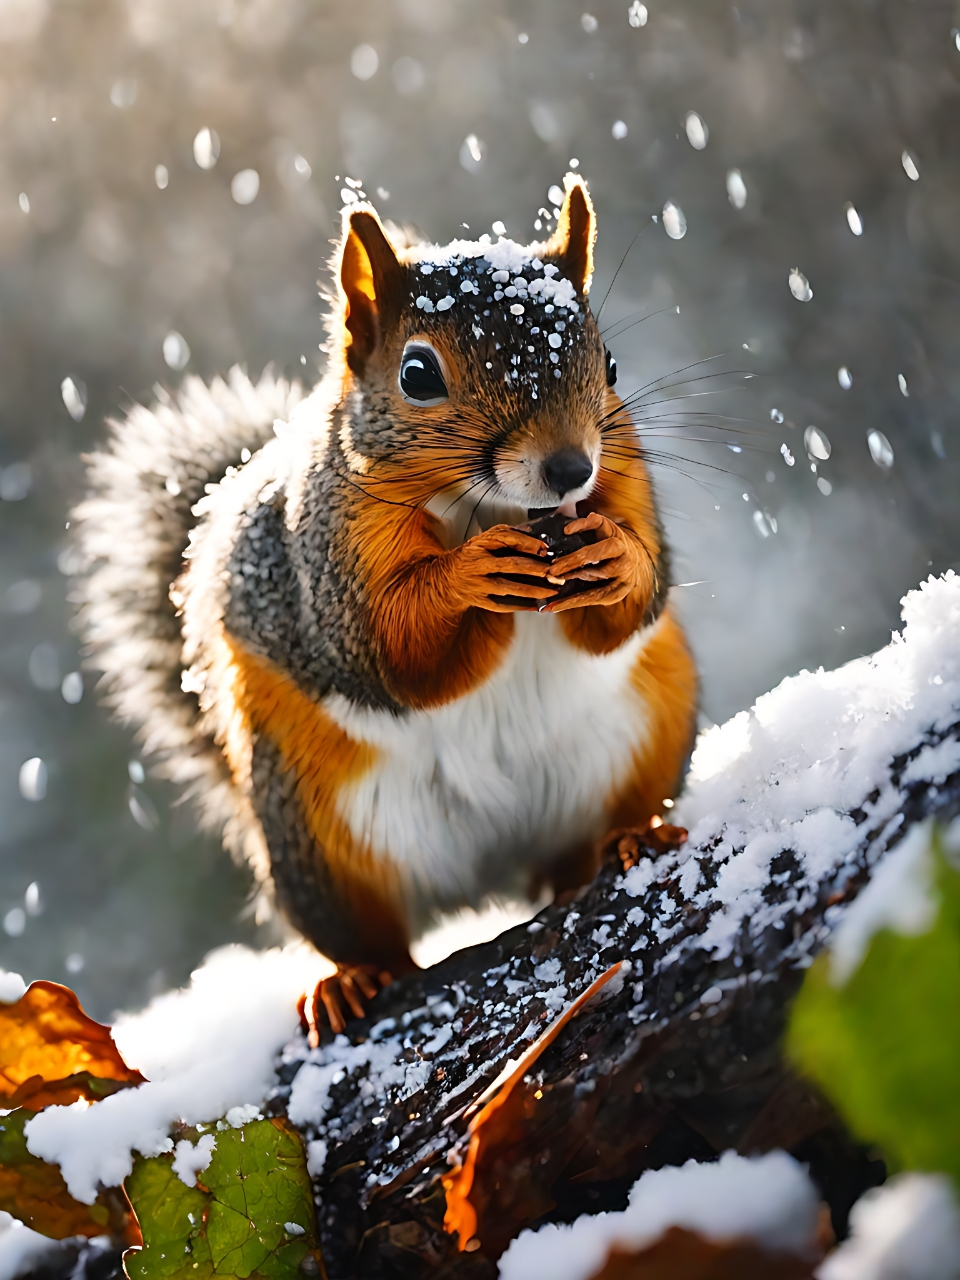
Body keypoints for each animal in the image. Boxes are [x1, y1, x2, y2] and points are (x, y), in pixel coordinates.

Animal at [69, 177, 701, 1039]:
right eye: (418, 374)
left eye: (608, 365)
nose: (570, 468)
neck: (487, 507)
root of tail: (490, 874)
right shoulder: (327, 559)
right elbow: (389, 652)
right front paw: (467, 574)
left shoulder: (624, 478)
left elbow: (633, 600)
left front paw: (616, 557)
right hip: (313, 834)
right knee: (365, 936)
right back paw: (352, 980)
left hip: (648, 730)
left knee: (583, 851)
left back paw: (630, 839)